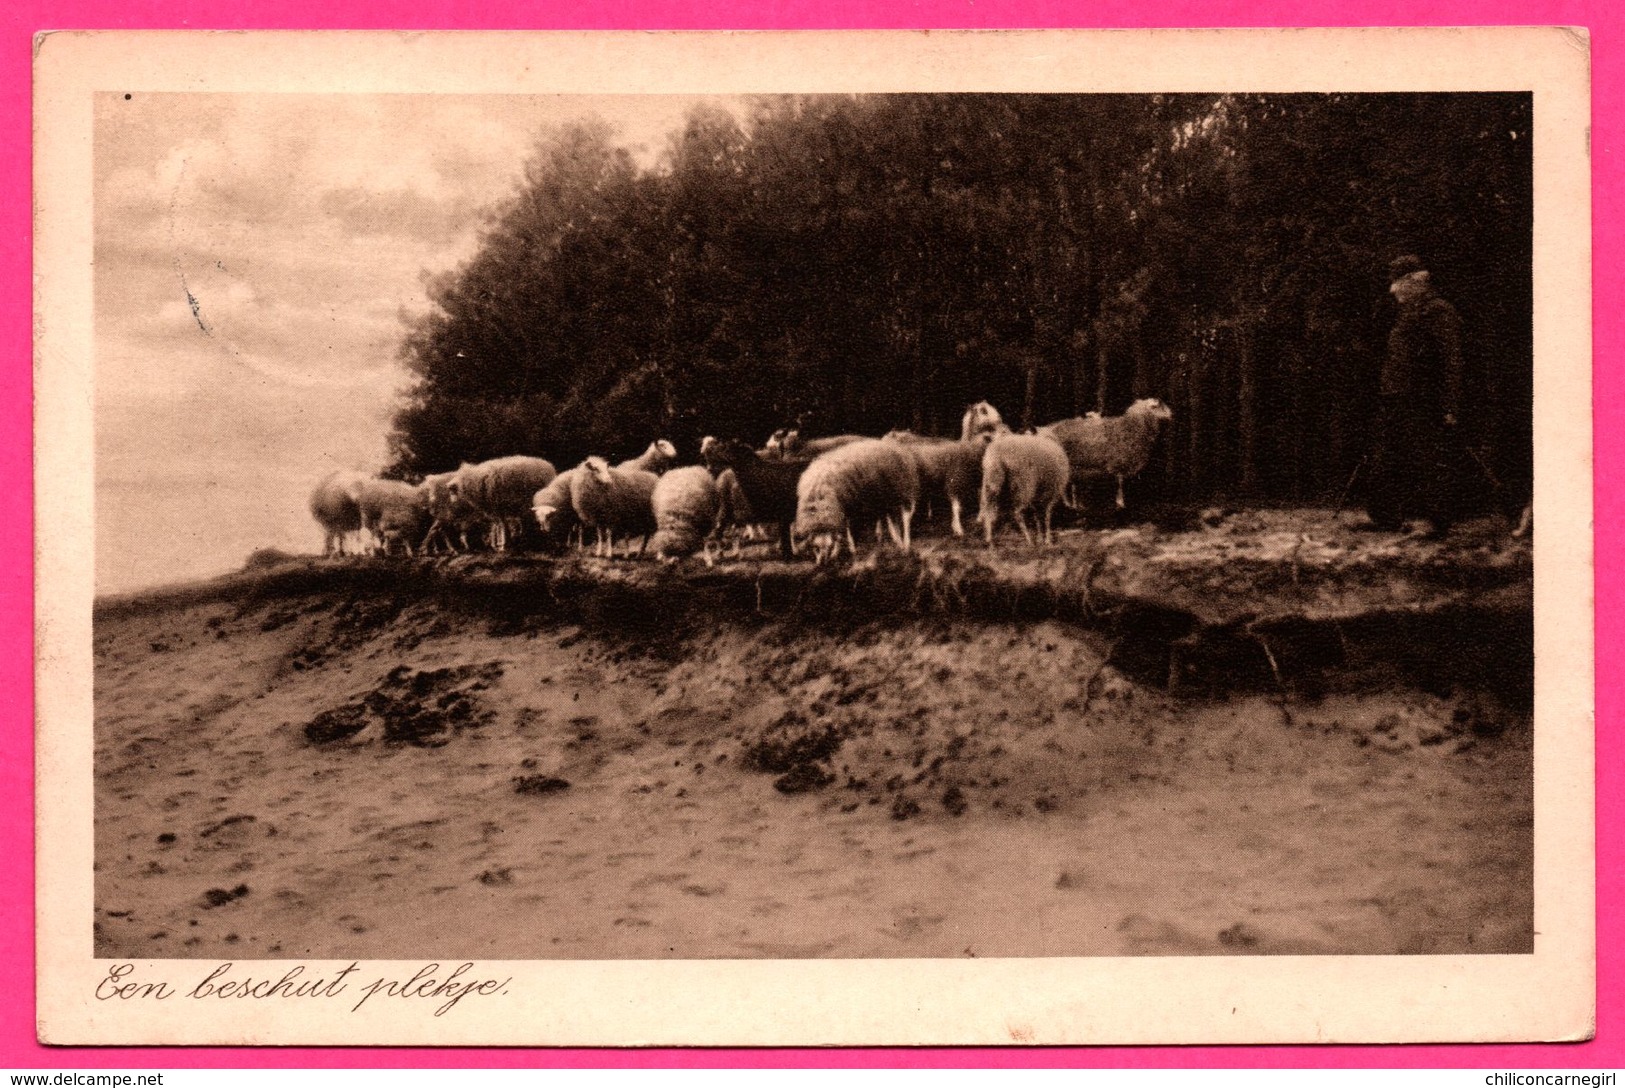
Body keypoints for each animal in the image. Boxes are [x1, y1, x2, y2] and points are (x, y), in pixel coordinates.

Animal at [789, 438, 923, 568]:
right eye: (815, 547)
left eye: (830, 546)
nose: (823, 563)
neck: (819, 497)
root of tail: (895, 445)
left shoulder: (846, 505)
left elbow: (844, 530)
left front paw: (848, 550)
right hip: (886, 498)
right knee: (890, 519)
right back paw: (895, 540)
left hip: (903, 489)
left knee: (906, 517)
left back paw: (906, 544)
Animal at [1033, 401, 1176, 513]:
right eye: (1157, 406)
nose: (1171, 415)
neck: (1132, 426)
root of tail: (1044, 431)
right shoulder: (1117, 461)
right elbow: (1119, 483)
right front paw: (1120, 503)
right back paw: (1067, 505)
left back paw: (1073, 505)